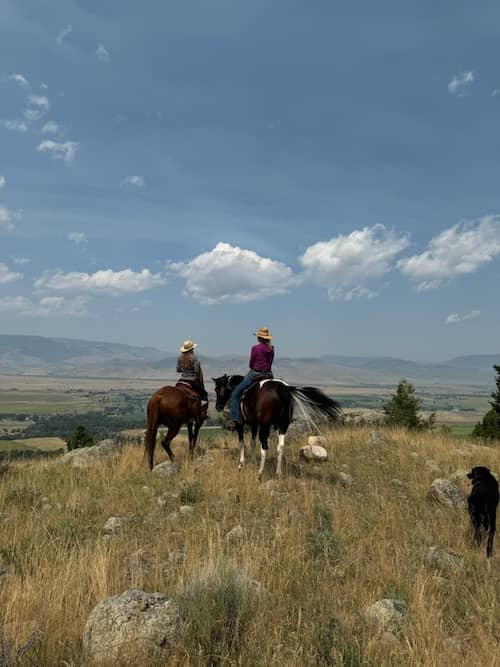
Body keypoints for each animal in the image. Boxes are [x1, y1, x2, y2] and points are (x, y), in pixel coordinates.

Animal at [213, 376, 342, 480]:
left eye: (216, 389)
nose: (218, 407)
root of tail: (283, 389)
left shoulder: (240, 424)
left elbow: (242, 443)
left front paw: (241, 464)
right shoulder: (254, 424)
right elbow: (252, 443)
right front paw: (252, 461)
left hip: (265, 426)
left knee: (264, 446)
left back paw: (260, 473)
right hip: (283, 425)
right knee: (280, 446)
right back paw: (277, 473)